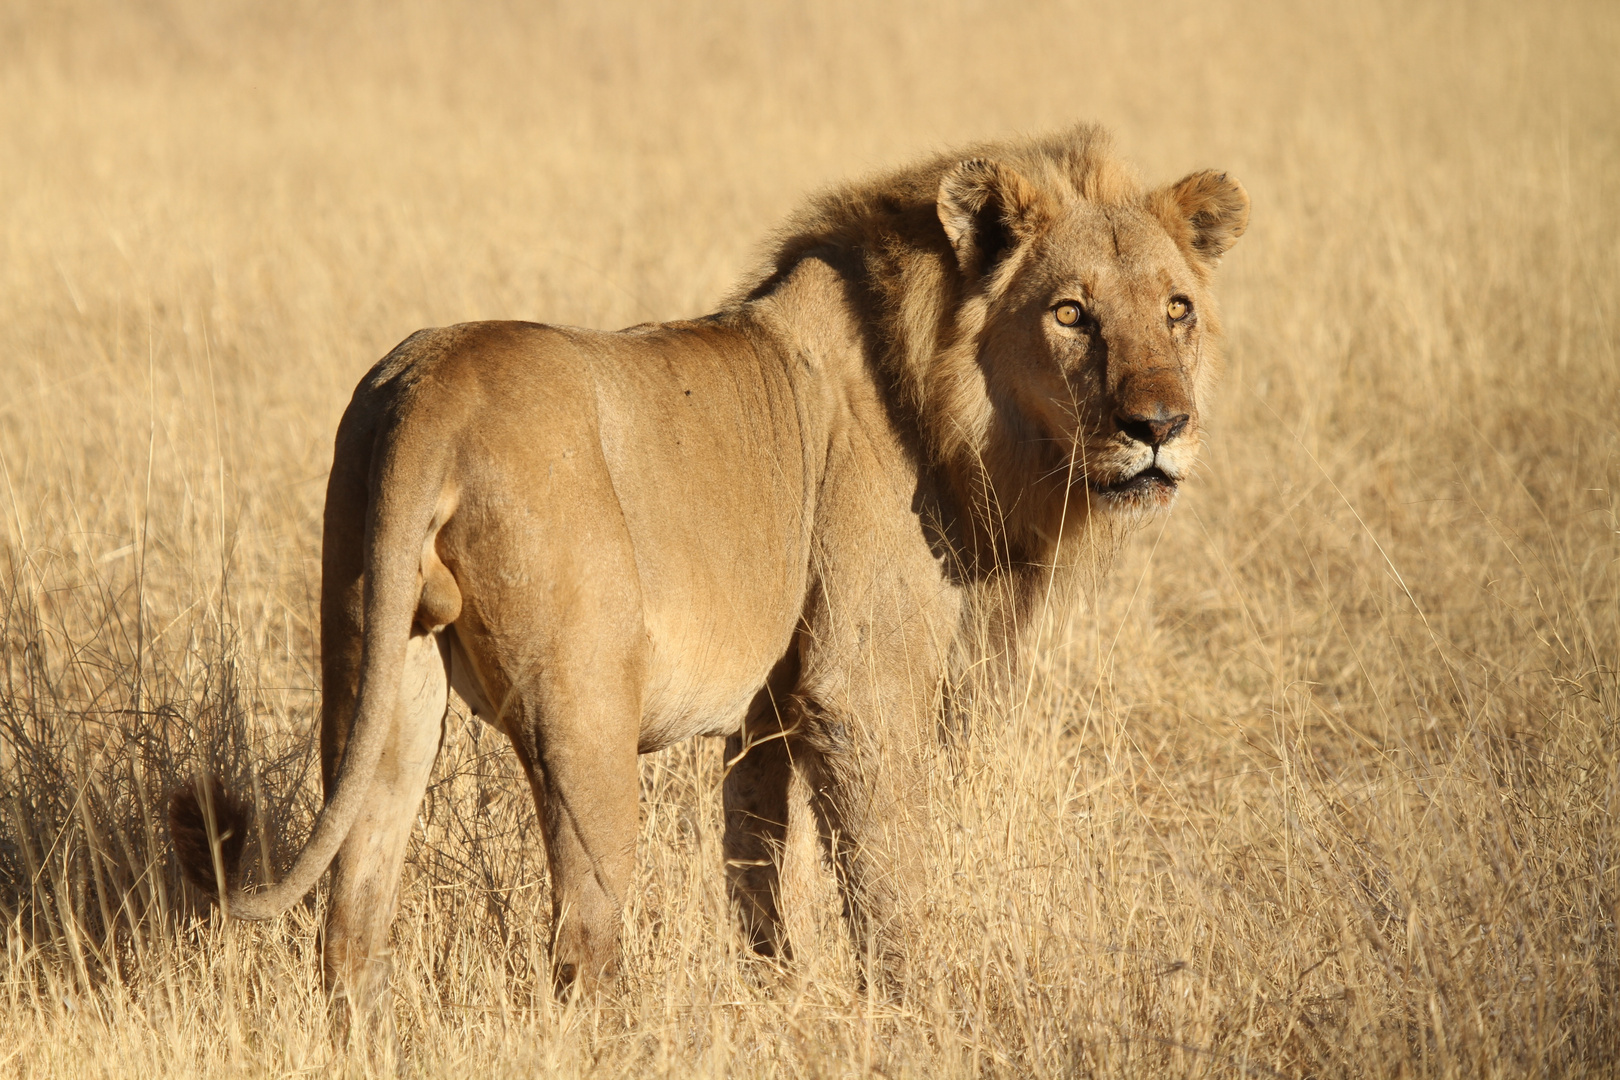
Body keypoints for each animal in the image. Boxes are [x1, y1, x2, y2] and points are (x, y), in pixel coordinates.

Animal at [167, 124, 1250, 1023]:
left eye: (1178, 310)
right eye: (1071, 313)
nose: (1159, 426)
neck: (946, 394)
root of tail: (433, 387)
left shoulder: (772, 706)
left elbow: (763, 861)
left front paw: (784, 996)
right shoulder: (855, 683)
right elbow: (886, 865)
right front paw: (914, 1009)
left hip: (379, 673)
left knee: (353, 908)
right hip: (584, 712)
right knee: (582, 938)